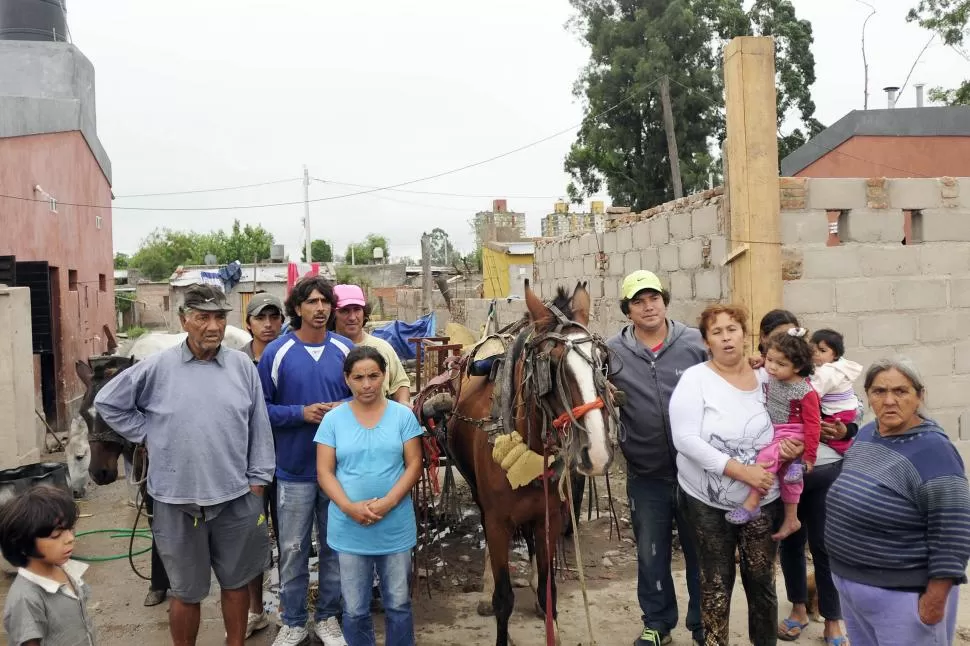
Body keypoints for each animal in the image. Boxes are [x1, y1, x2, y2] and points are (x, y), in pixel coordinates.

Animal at [414, 282, 612, 646]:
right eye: (551, 364)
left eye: (602, 361)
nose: (598, 452)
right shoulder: (497, 521)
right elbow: (503, 598)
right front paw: (494, 598)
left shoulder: (550, 514)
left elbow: (550, 589)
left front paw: (547, 613)